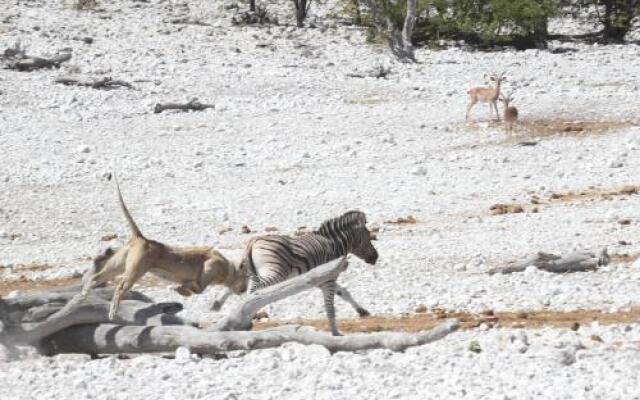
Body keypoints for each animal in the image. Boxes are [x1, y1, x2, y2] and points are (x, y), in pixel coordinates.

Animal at [242, 211, 378, 336]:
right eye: (368, 237)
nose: (376, 257)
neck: (334, 244)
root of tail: (254, 241)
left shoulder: (324, 279)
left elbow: (344, 292)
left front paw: (362, 311)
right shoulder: (329, 279)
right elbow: (330, 306)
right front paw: (335, 333)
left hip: (256, 275)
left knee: (253, 292)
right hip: (274, 272)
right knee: (255, 292)